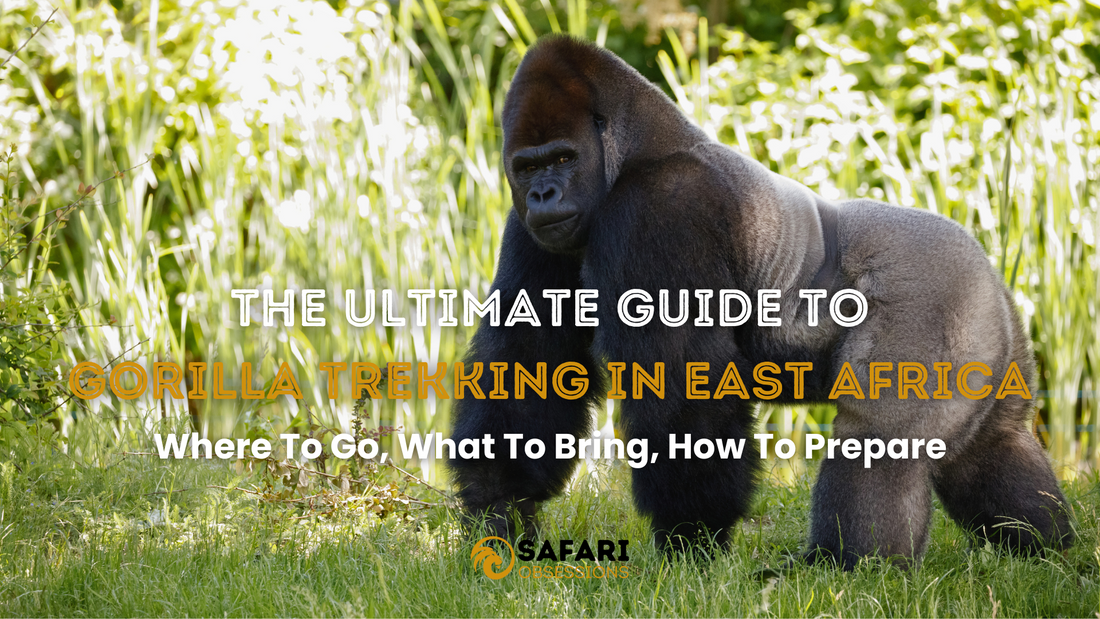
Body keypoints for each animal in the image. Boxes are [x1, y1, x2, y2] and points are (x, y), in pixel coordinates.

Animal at [448, 35, 1073, 569]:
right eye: (527, 166)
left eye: (562, 159)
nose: (542, 194)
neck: (640, 148)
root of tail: (986, 265)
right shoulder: (533, 229)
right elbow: (529, 357)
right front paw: (501, 507)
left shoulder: (662, 210)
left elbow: (683, 383)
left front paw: (691, 537)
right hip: (989, 328)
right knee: (990, 447)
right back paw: (1045, 550)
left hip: (936, 297)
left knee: (878, 442)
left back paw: (849, 567)